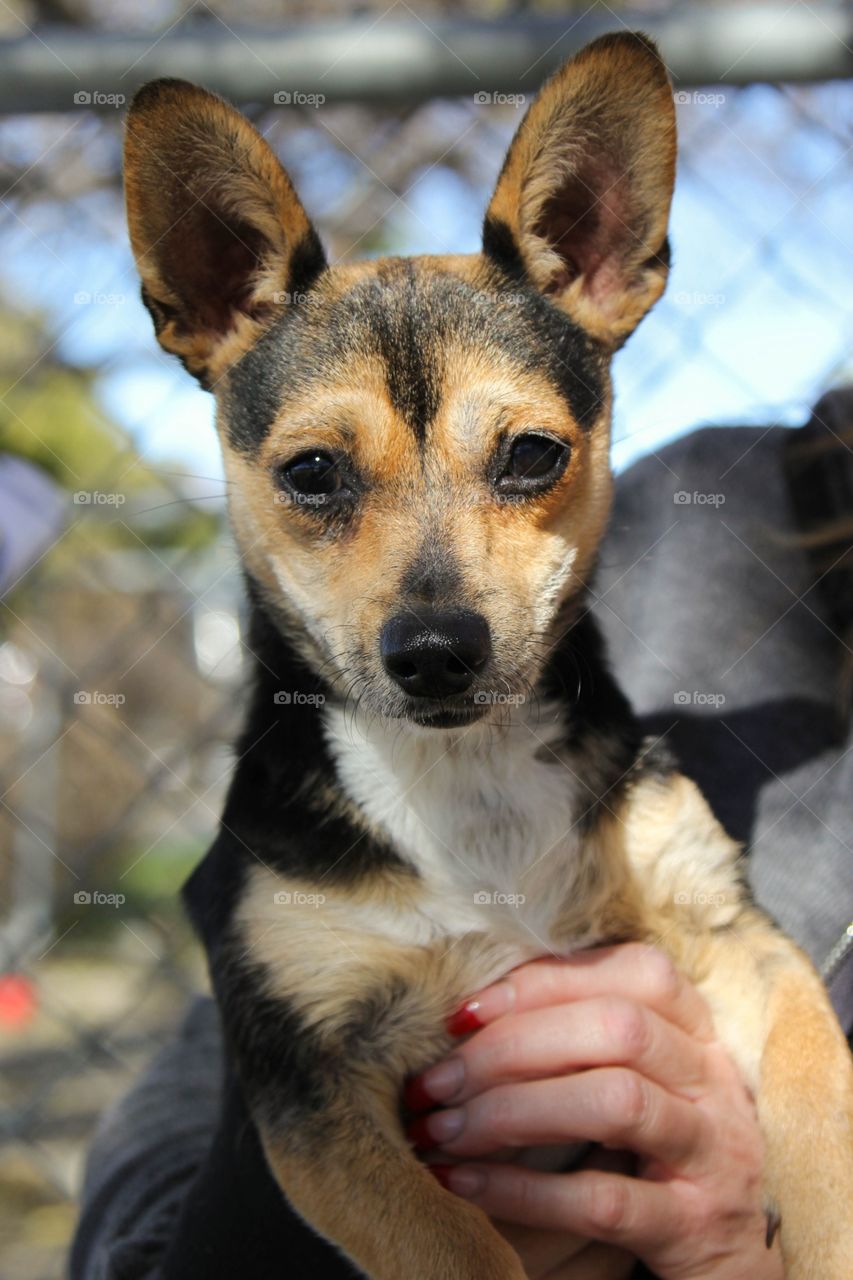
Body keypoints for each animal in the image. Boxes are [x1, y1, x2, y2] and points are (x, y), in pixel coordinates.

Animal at [122, 35, 850, 1274]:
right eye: (310, 472)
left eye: (532, 456)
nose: (434, 653)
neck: (465, 779)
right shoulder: (314, 1089)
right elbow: (460, 1248)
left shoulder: (740, 943)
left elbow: (821, 1109)